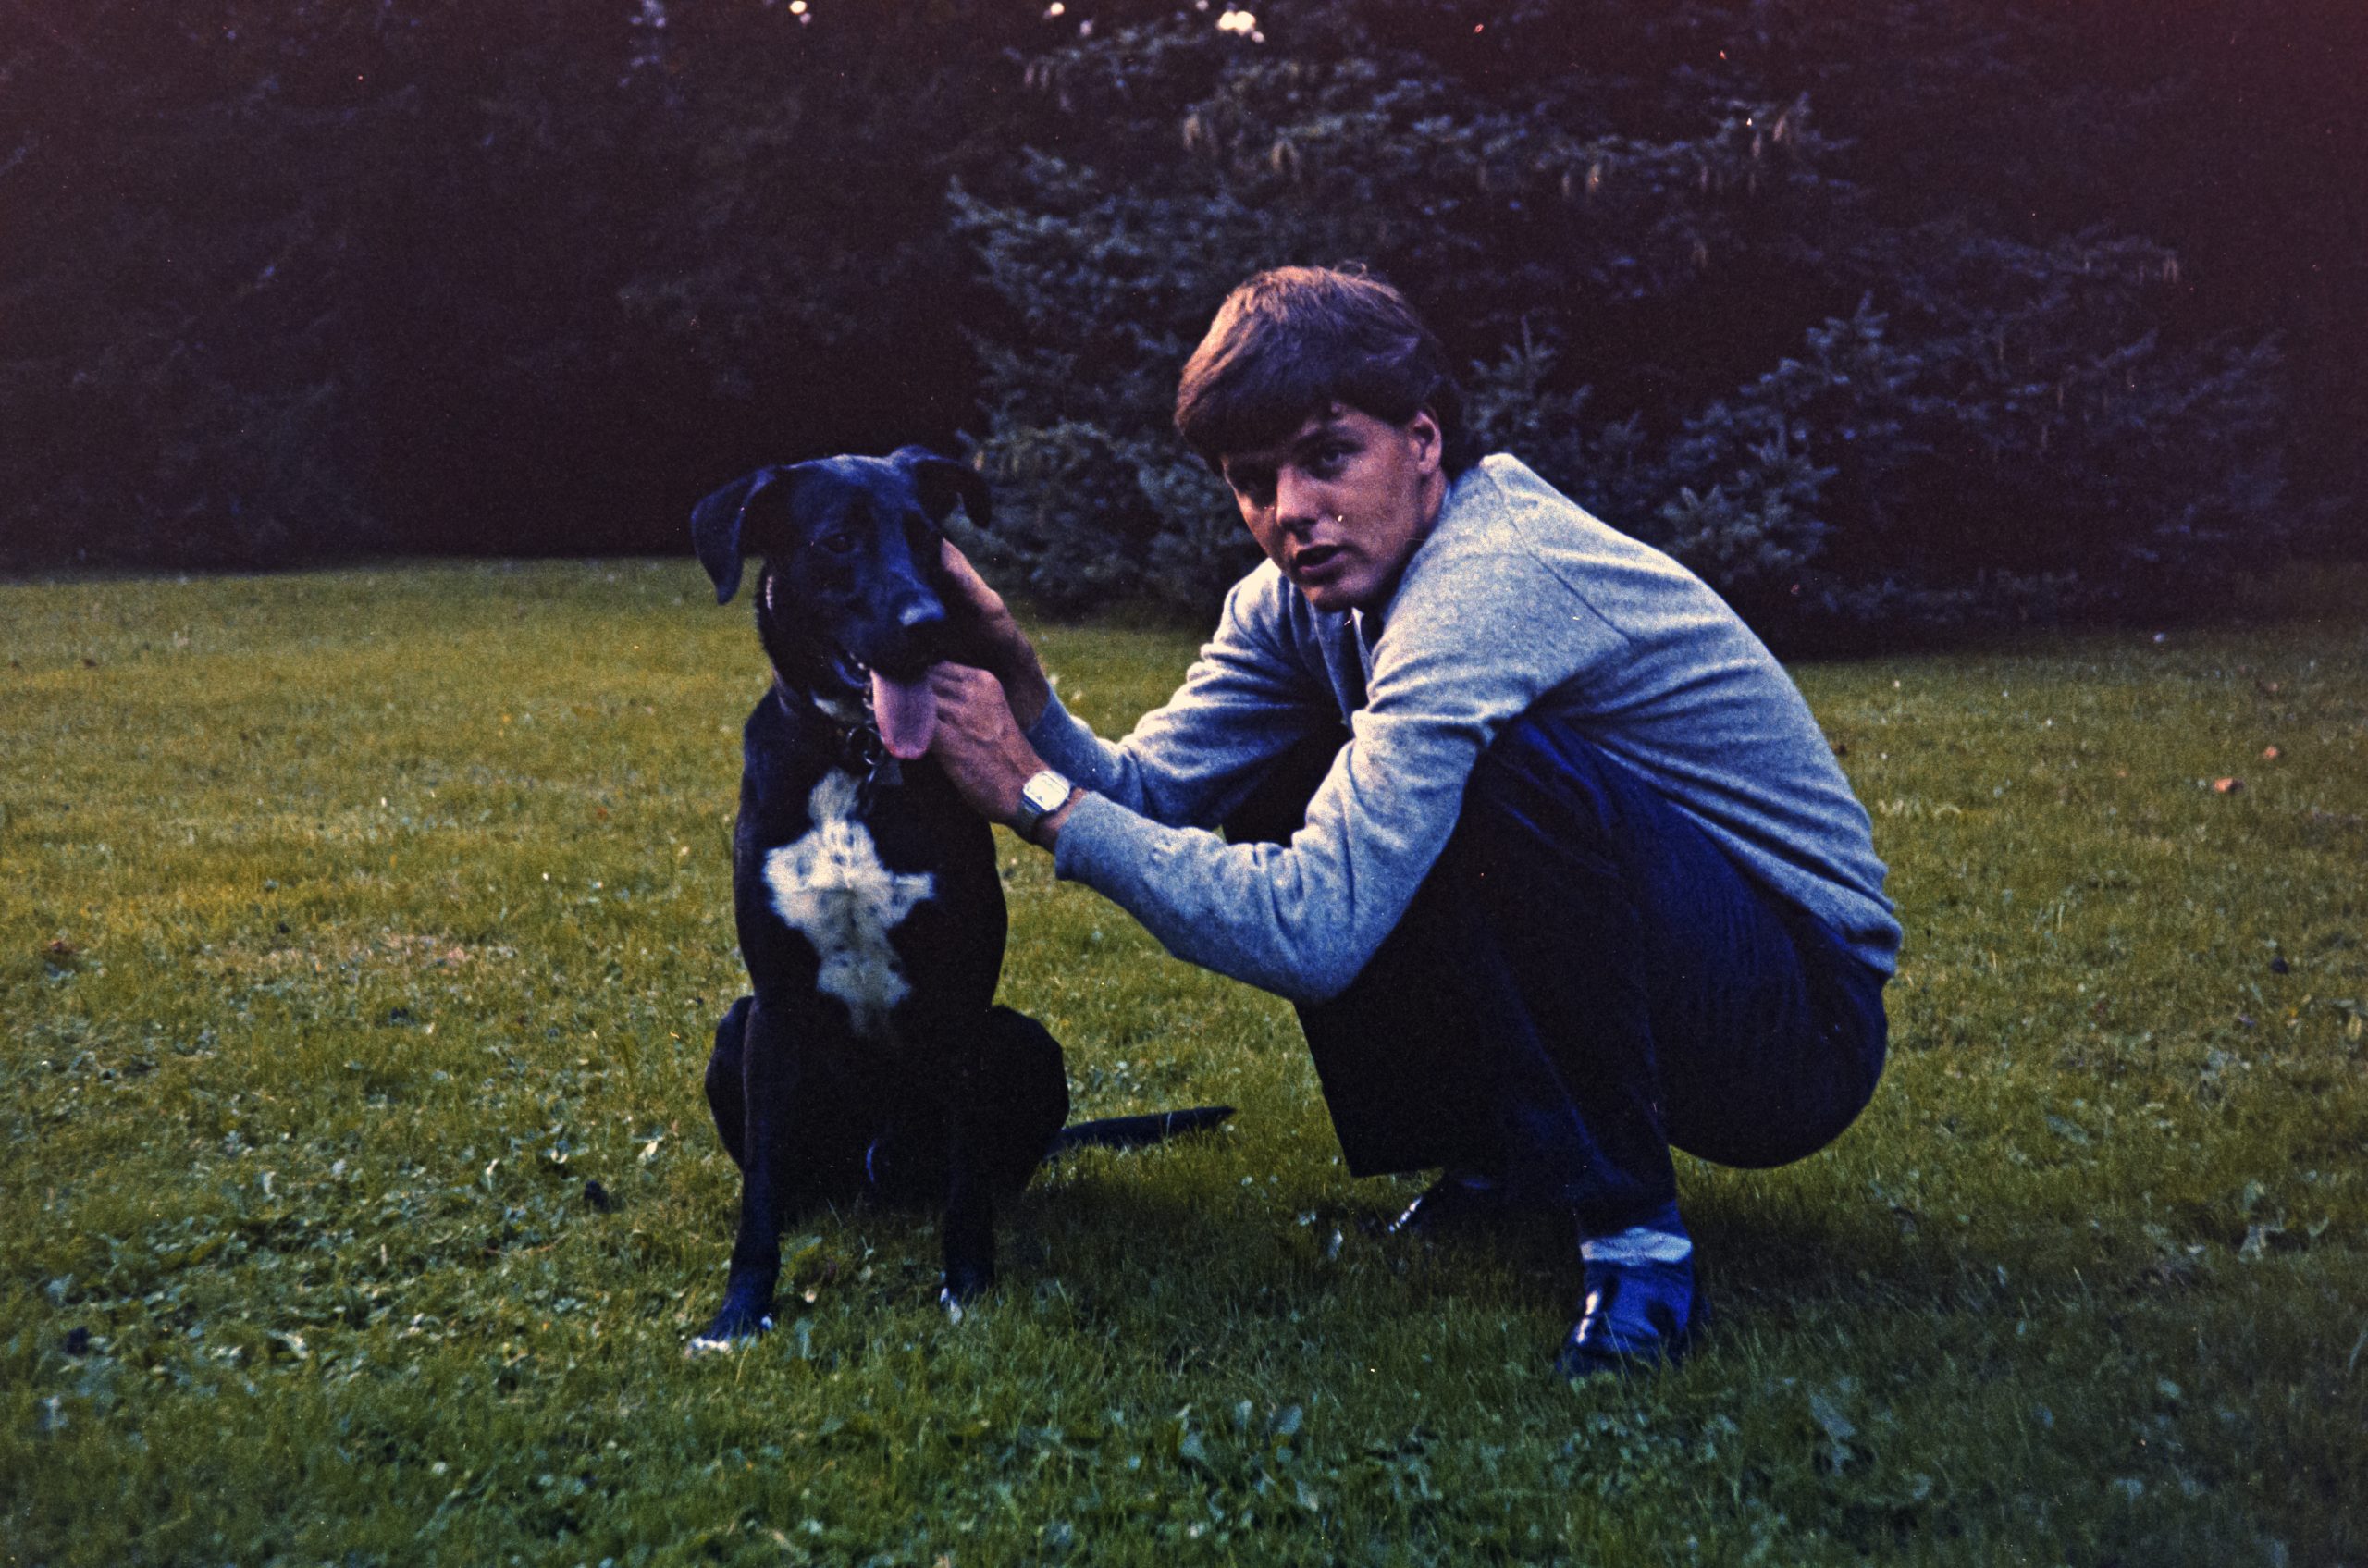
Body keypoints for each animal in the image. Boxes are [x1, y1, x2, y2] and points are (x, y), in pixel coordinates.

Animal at [688, 446, 1229, 1350]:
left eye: (927, 535)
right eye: (838, 540)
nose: (927, 623)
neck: (859, 756)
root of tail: (879, 1175)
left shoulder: (964, 999)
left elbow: (969, 1178)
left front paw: (969, 1283)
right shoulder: (773, 1002)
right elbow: (758, 1188)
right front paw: (740, 1309)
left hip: (1024, 1039)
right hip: (737, 1030)